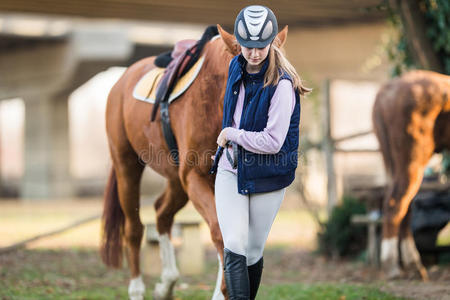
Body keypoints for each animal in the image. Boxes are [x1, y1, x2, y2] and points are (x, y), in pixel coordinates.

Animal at [99, 25, 288, 300]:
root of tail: (122, 81)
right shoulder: (195, 178)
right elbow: (221, 233)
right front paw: (223, 291)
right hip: (127, 166)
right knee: (134, 229)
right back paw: (136, 289)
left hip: (176, 181)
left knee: (161, 214)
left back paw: (167, 284)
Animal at [372, 71, 450, 282]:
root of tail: (387, 90)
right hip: (412, 159)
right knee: (396, 203)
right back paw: (392, 266)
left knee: (404, 207)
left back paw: (413, 265)